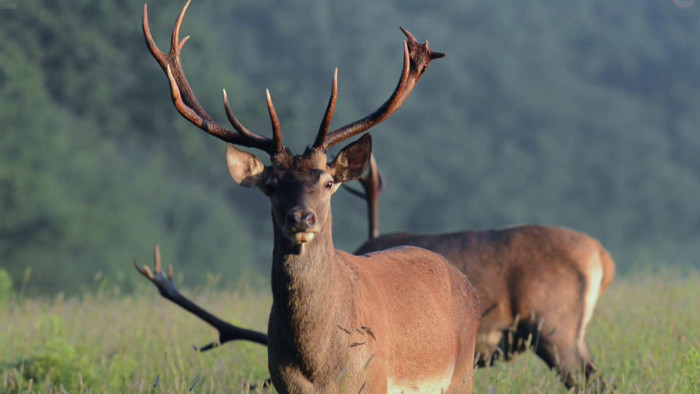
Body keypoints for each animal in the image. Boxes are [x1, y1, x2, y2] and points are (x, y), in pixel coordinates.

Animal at [135, 2, 482, 390]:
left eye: (329, 182)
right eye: (271, 185)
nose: (301, 217)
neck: (319, 366)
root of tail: (464, 283)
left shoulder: (374, 381)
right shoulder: (281, 381)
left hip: (462, 373)